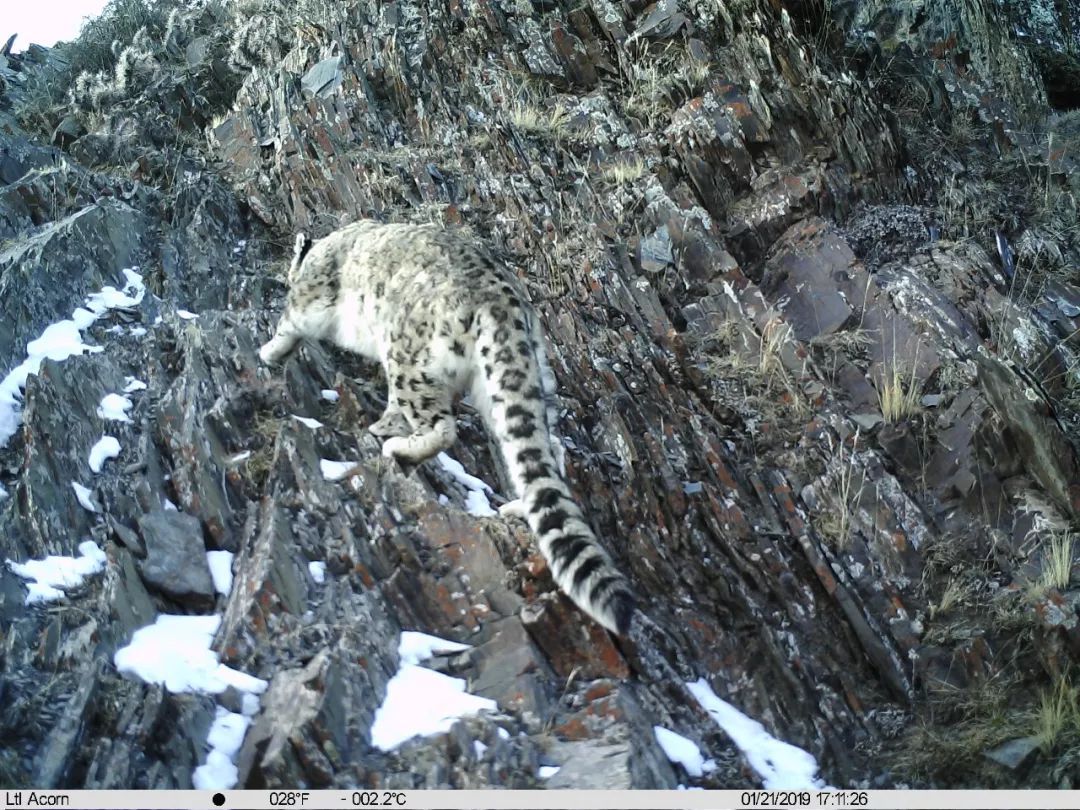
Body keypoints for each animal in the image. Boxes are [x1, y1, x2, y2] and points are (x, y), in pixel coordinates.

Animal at [258, 220, 635, 635]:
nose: (286, 274)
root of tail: (502, 299)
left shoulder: (310, 295)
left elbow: (289, 322)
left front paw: (270, 351)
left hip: (407, 356)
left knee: (440, 424)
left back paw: (398, 448)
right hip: (515, 381)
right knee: (548, 447)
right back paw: (515, 504)